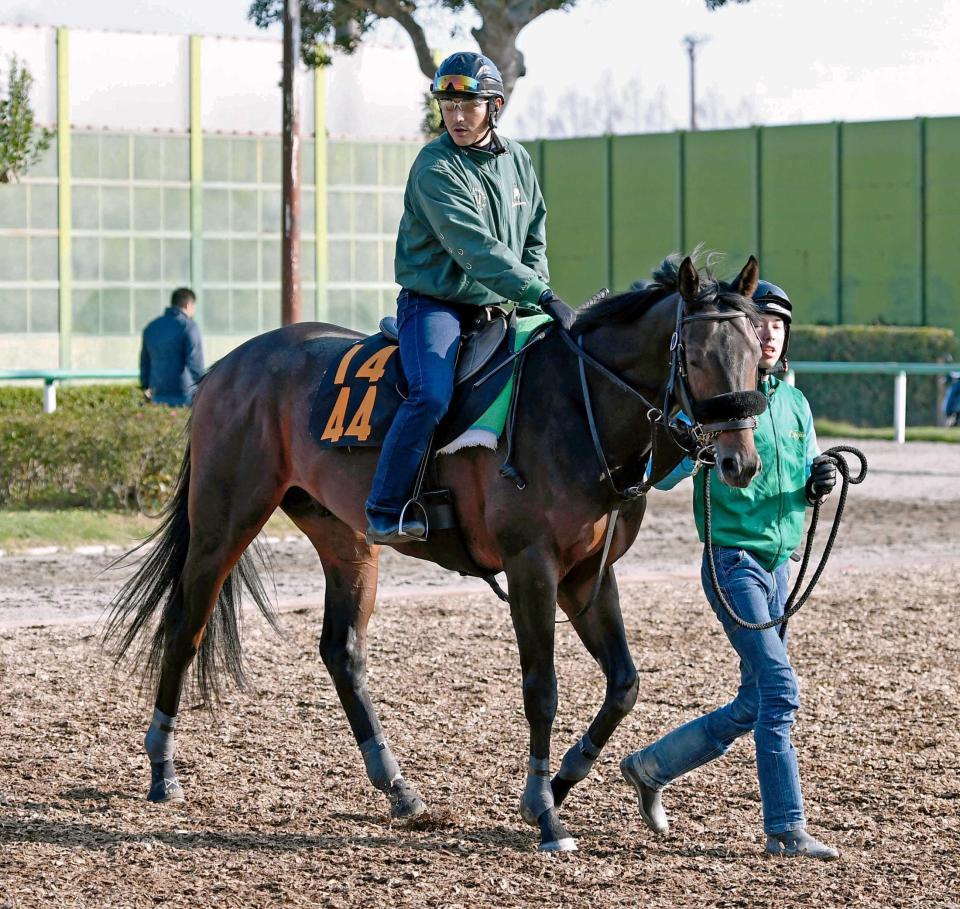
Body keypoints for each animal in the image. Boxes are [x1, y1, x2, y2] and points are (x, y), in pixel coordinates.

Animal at [105, 254, 764, 852]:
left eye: (759, 353)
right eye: (697, 356)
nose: (740, 461)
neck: (580, 407)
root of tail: (228, 366)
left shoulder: (588, 576)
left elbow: (624, 684)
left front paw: (562, 782)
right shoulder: (532, 566)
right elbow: (542, 689)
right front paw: (545, 813)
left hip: (346, 538)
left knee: (342, 651)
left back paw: (397, 786)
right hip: (224, 522)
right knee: (185, 628)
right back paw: (162, 767)